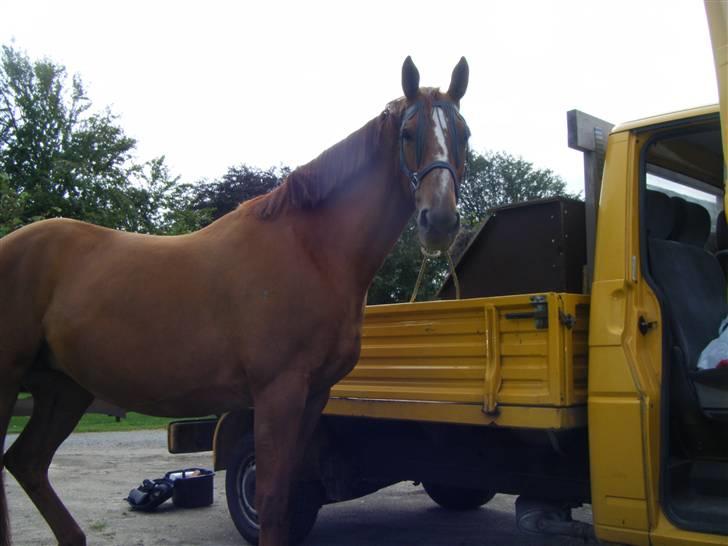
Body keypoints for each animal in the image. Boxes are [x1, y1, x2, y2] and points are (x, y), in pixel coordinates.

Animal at [0, 56, 472, 544]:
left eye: (465, 134)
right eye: (408, 133)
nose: (439, 221)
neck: (311, 250)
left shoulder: (313, 396)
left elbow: (287, 493)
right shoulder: (277, 392)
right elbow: (270, 500)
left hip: (64, 388)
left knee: (27, 462)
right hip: (10, 380)